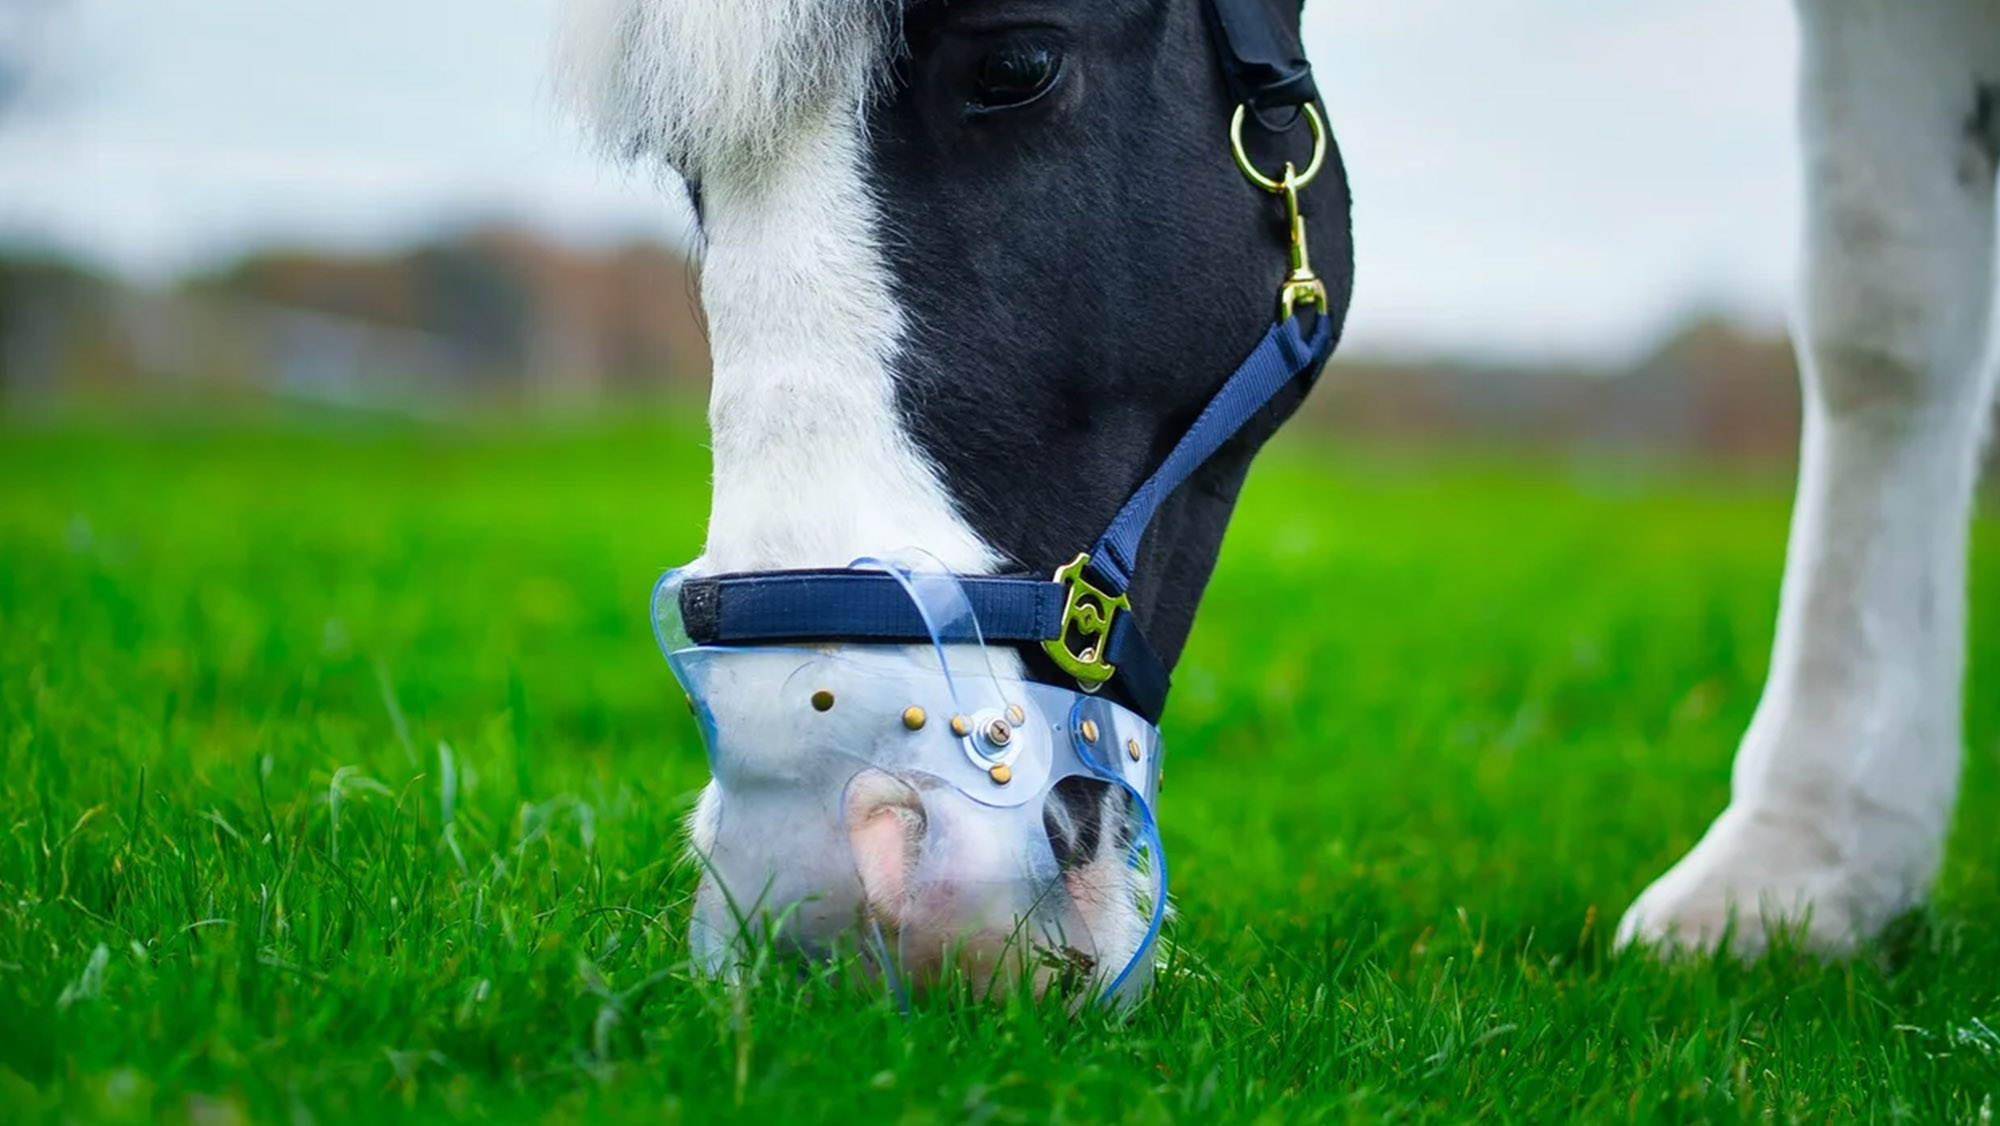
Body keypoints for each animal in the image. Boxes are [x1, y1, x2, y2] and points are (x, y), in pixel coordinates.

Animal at [557, 0, 2000, 998]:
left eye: (1017, 64)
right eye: (686, 167)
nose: (825, 884)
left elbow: (1879, 297)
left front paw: (1806, 859)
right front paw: (1821, 865)